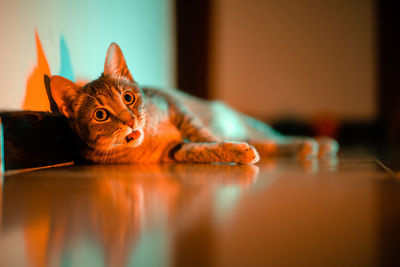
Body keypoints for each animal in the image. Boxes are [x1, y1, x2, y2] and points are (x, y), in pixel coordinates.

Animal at [50, 43, 338, 164]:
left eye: (128, 98)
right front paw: (234, 152)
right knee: (268, 144)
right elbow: (200, 150)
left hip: (247, 124)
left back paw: (317, 144)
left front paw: (227, 145)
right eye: (101, 115)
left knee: (273, 138)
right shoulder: (174, 152)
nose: (130, 120)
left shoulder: (178, 109)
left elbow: (203, 136)